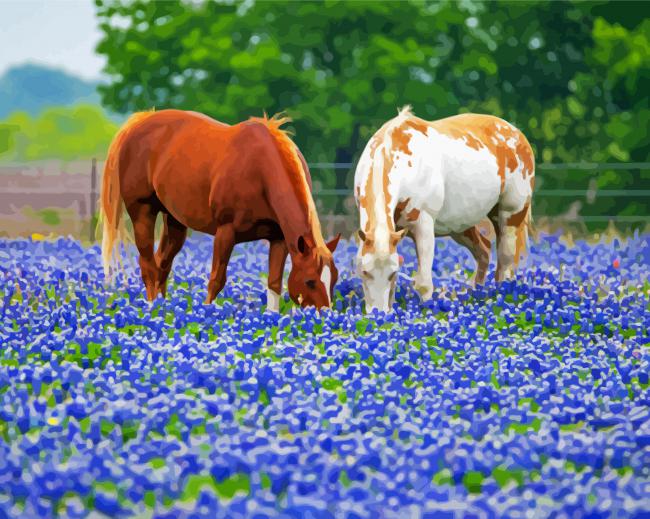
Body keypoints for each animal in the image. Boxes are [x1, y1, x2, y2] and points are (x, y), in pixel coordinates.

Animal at [100, 110, 340, 310]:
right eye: (310, 281)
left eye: (335, 279)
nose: (326, 315)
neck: (261, 170)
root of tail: (139, 121)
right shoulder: (226, 231)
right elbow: (216, 279)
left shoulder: (279, 238)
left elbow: (274, 283)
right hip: (143, 211)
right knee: (148, 264)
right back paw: (152, 309)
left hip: (174, 219)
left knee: (162, 264)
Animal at [354, 103, 532, 310]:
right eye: (364, 271)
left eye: (391, 273)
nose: (378, 313)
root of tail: (517, 133)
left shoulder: (423, 225)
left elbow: (423, 283)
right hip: (461, 225)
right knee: (484, 251)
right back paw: (476, 294)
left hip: (511, 214)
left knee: (505, 259)